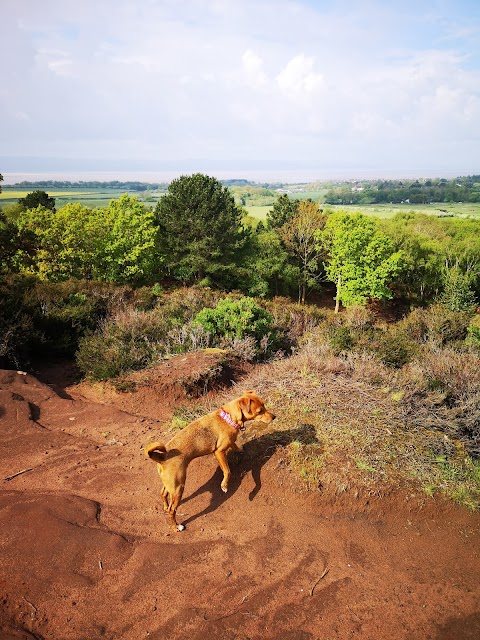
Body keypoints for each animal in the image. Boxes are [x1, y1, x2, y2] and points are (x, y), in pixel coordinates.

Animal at [144, 390, 276, 528]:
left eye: (264, 405)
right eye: (260, 411)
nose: (274, 417)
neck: (228, 418)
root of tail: (161, 456)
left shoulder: (229, 443)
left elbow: (234, 445)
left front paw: (240, 449)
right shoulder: (219, 452)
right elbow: (227, 471)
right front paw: (224, 485)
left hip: (170, 484)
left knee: (163, 494)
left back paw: (165, 507)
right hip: (178, 487)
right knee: (172, 509)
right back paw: (176, 527)